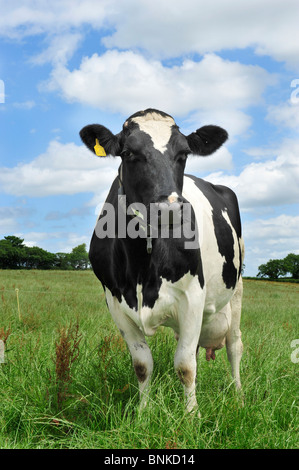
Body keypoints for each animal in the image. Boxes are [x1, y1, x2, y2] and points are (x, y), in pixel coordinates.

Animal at [81, 109, 245, 414]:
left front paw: (191, 416)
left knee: (234, 344)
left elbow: (185, 366)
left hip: (237, 287)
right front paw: (143, 413)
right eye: (128, 153)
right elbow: (143, 364)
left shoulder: (193, 295)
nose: (169, 209)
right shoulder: (114, 300)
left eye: (184, 153)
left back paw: (239, 396)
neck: (141, 263)